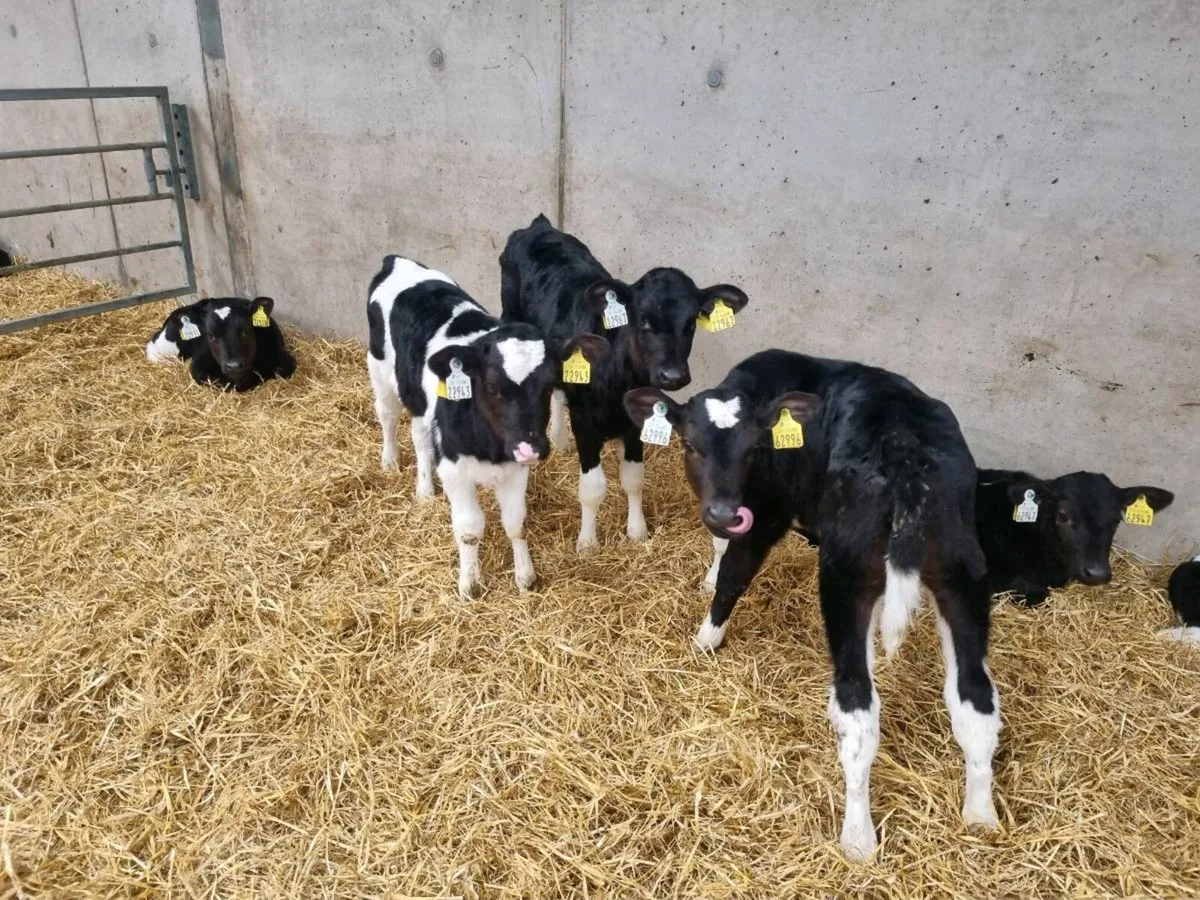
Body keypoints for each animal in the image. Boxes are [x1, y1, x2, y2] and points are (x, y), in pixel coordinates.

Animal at [367, 255, 608, 600]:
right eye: (492, 386)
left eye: (550, 384)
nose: (533, 446)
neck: (489, 447)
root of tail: (397, 261)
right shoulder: (454, 470)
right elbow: (469, 530)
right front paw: (470, 584)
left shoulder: (516, 467)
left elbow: (516, 522)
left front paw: (525, 578)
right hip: (379, 368)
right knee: (387, 415)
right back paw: (390, 461)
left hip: (418, 398)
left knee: (420, 435)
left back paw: (424, 488)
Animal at [499, 213, 748, 552]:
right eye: (643, 319)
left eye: (691, 321)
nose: (673, 375)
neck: (618, 380)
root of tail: (540, 226)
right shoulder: (585, 424)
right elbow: (592, 488)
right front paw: (587, 542)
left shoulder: (636, 425)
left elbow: (633, 479)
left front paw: (637, 531)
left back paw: (559, 440)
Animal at [624, 348, 998, 862]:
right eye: (691, 445)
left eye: (753, 450)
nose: (721, 512)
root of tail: (904, 450)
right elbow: (721, 552)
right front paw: (707, 578)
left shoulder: (765, 514)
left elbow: (733, 575)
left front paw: (704, 640)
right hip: (963, 575)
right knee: (974, 697)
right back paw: (981, 816)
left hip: (845, 577)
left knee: (858, 710)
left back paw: (858, 838)